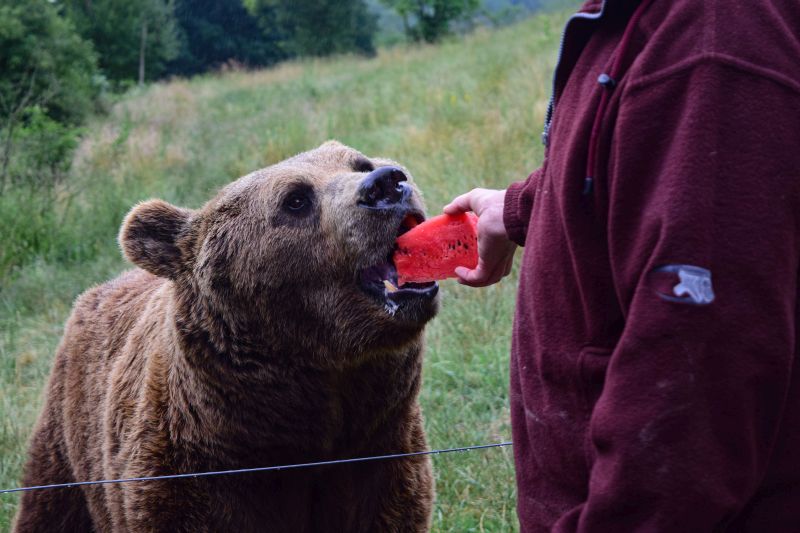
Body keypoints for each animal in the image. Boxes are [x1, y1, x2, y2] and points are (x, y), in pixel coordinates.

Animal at [14, 139, 438, 528]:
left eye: (360, 162)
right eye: (295, 200)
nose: (386, 184)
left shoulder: (378, 455)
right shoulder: (188, 479)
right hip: (66, 444)